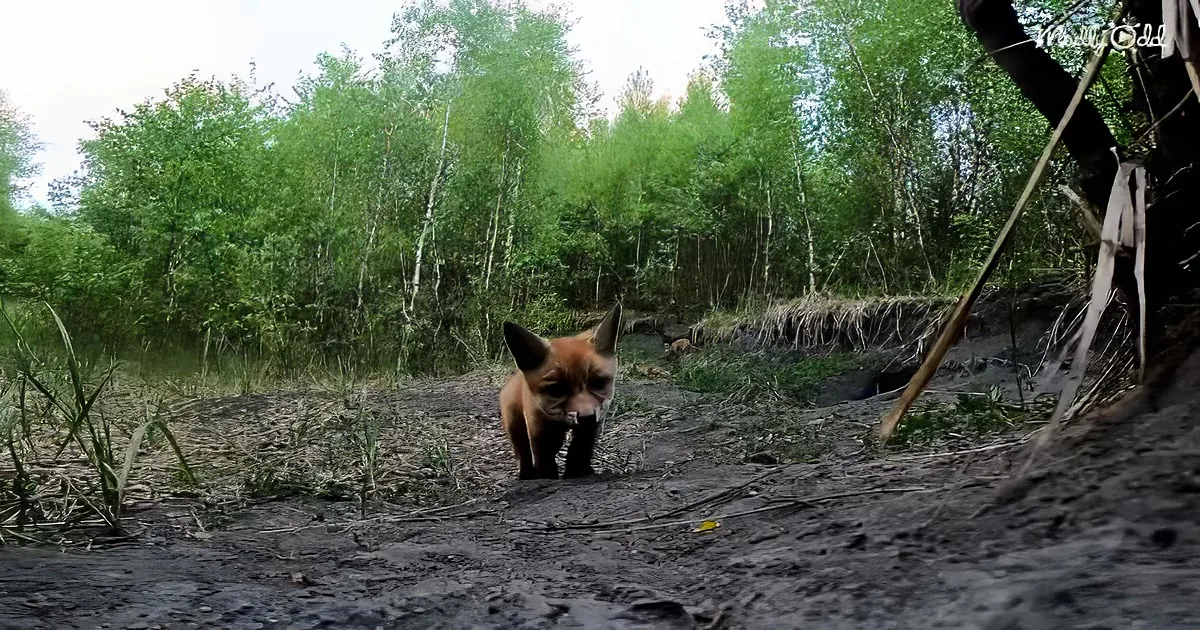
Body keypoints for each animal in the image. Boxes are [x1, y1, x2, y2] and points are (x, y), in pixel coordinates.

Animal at [499, 302, 622, 480]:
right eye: (556, 390)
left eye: (598, 383)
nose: (586, 417)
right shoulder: (538, 430)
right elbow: (544, 460)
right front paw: (548, 476)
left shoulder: (591, 427)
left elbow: (579, 450)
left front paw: (577, 471)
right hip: (516, 427)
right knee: (523, 454)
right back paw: (526, 475)